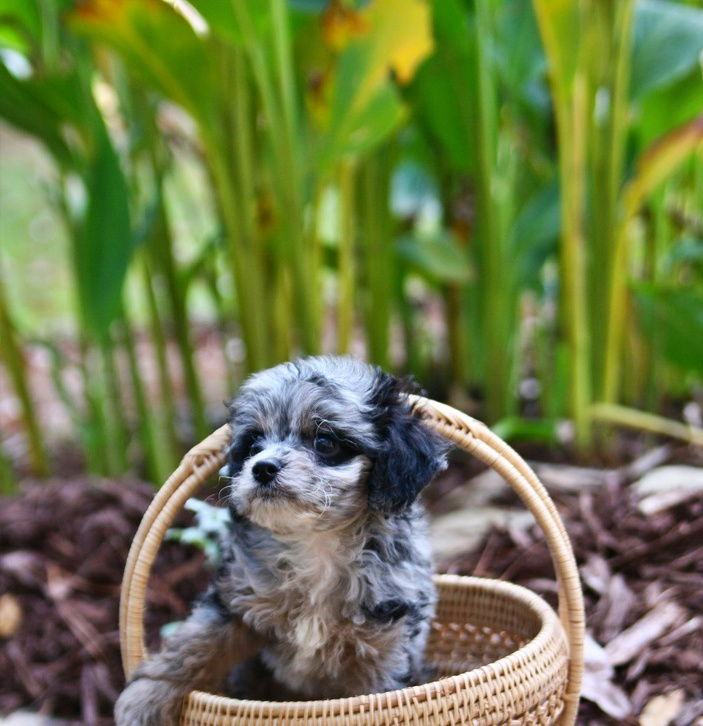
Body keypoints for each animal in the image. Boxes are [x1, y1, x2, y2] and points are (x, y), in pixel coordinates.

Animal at [115, 356, 446, 724]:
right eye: (253, 445)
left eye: (325, 442)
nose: (262, 467)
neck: (316, 544)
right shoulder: (236, 601)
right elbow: (192, 643)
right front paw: (144, 696)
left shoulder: (385, 643)